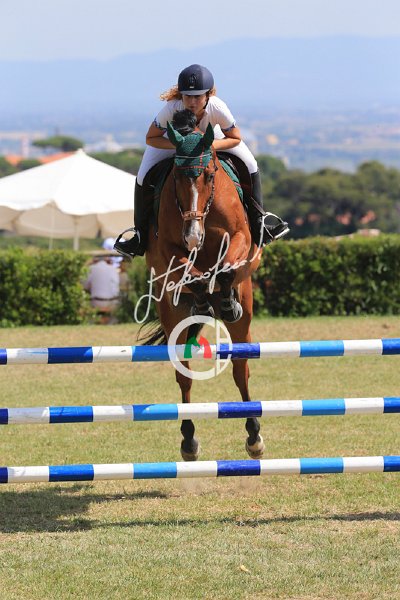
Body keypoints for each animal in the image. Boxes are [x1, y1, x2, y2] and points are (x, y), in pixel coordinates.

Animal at [144, 121, 265, 461]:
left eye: (210, 175)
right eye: (176, 178)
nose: (192, 235)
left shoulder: (239, 237)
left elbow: (226, 267)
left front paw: (225, 301)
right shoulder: (169, 251)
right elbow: (193, 273)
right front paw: (203, 296)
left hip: (245, 318)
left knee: (241, 370)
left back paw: (254, 436)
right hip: (172, 316)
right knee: (183, 376)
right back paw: (188, 441)